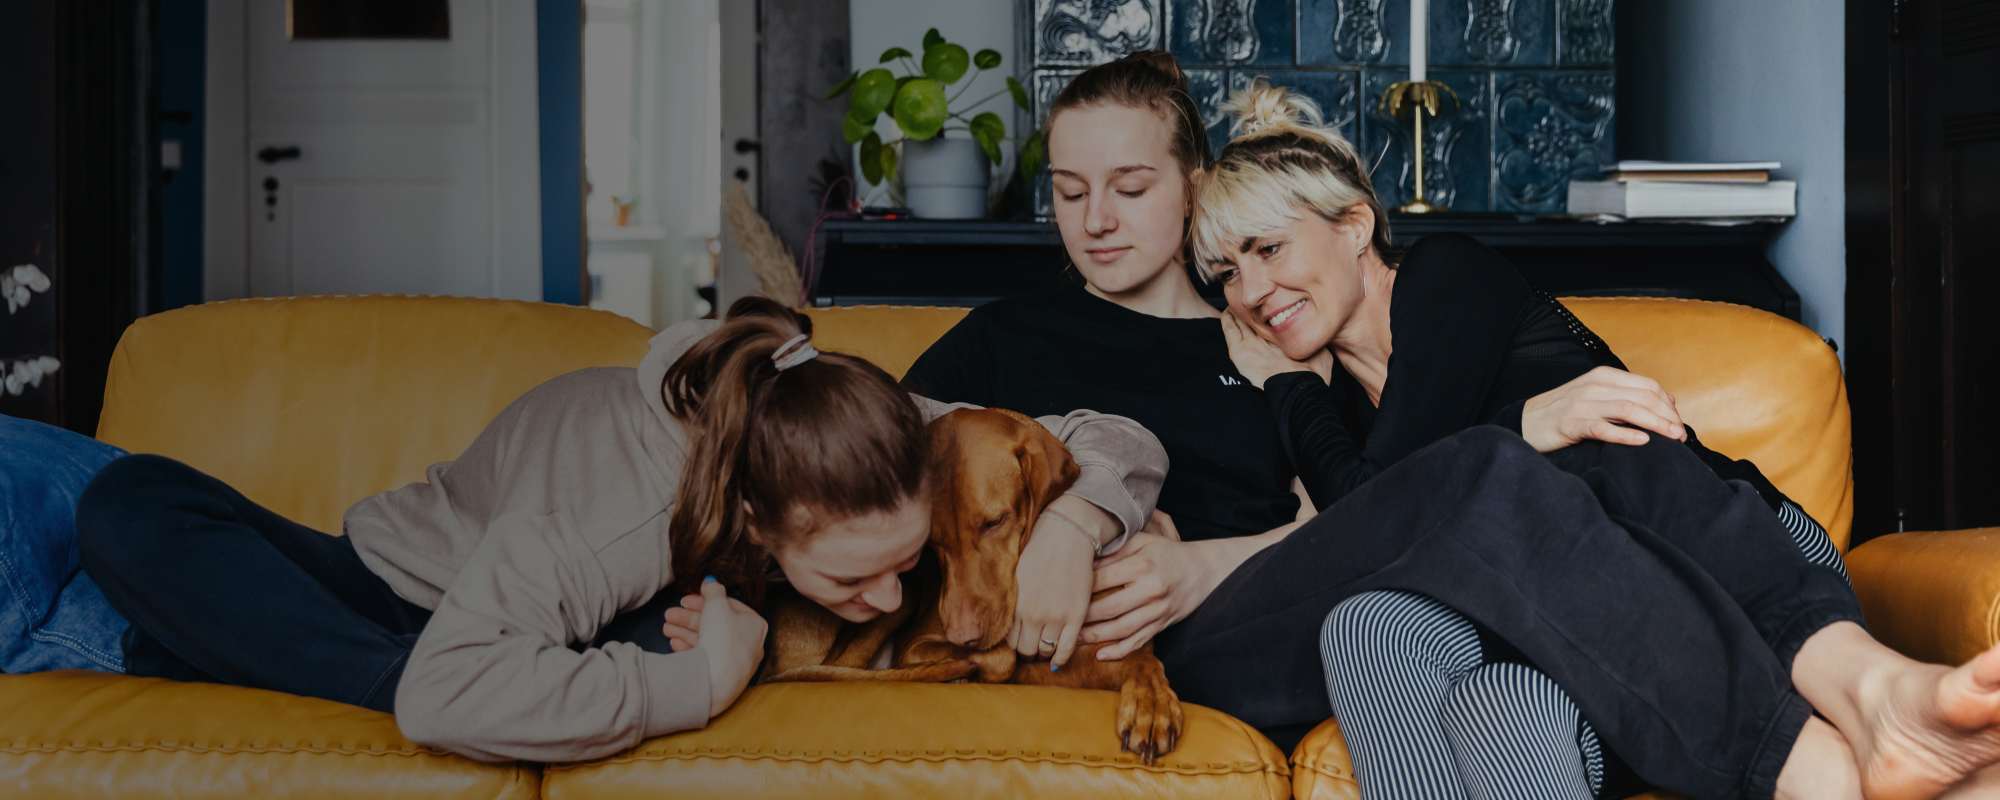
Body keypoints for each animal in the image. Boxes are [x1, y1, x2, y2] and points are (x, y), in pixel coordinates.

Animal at [756, 410, 1176, 760]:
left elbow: (1141, 659)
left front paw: (1150, 704)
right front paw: (970, 665)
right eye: (931, 542)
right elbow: (1004, 657)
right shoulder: (915, 646)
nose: (963, 636)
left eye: (994, 522)